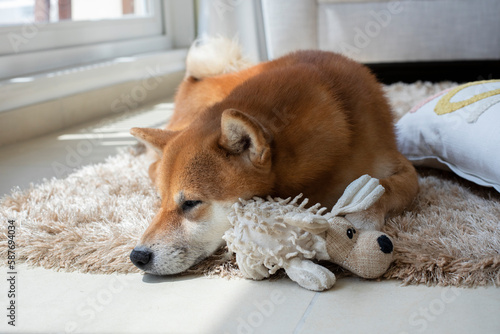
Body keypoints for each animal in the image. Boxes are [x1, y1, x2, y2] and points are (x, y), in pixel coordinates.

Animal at [129, 38, 418, 274]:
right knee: (152, 165)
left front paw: (363, 217)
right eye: (161, 200)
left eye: (190, 203)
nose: (137, 256)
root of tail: (195, 79)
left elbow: (390, 185)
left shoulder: (395, 162)